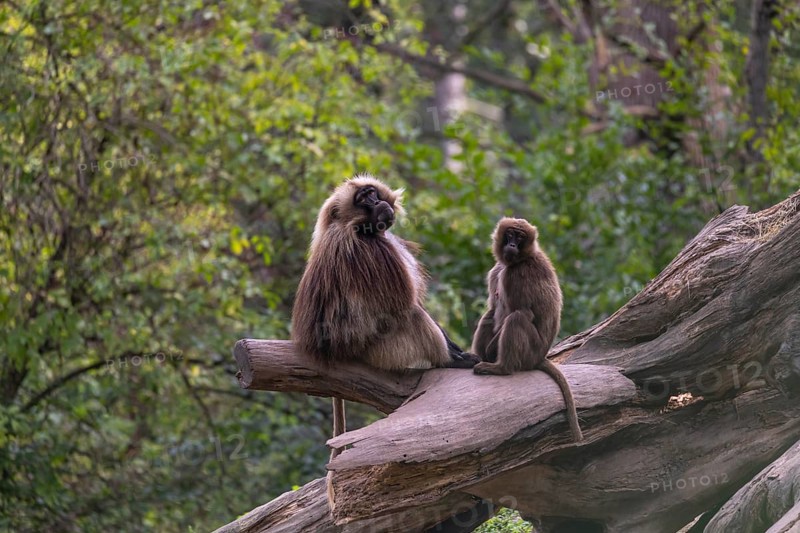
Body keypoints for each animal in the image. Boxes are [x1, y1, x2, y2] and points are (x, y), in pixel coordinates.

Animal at [291, 174, 480, 507]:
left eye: (372, 193)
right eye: (364, 199)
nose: (378, 203)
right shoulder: (371, 250)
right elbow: (405, 303)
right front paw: (457, 355)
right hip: (383, 351)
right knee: (410, 313)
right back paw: (448, 361)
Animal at [471, 217, 583, 442]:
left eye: (520, 237)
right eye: (510, 234)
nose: (512, 245)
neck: (519, 260)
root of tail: (541, 356)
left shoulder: (516, 275)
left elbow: (525, 313)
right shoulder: (497, 270)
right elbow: (493, 309)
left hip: (531, 351)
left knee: (517, 319)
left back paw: (501, 368)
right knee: (488, 316)